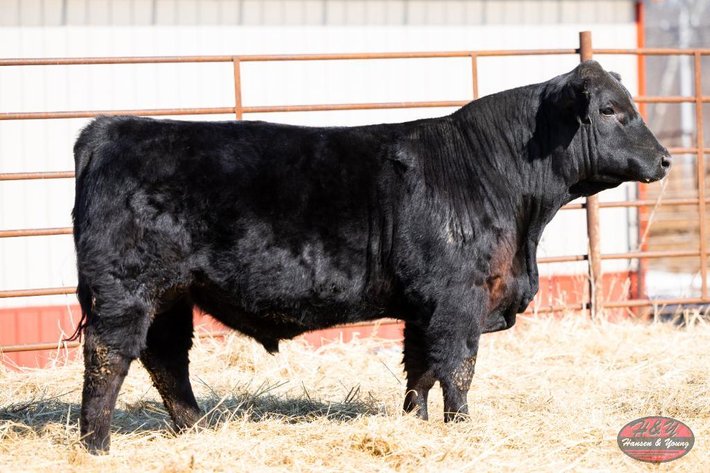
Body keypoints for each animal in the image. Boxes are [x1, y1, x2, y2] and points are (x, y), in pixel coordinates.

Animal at [70, 60, 670, 453]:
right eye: (612, 110)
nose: (665, 159)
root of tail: (110, 129)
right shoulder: (458, 300)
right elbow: (458, 368)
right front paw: (461, 429)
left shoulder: (425, 307)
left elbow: (420, 369)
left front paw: (415, 424)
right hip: (126, 287)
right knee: (109, 357)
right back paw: (96, 445)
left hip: (172, 294)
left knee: (166, 357)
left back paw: (196, 430)